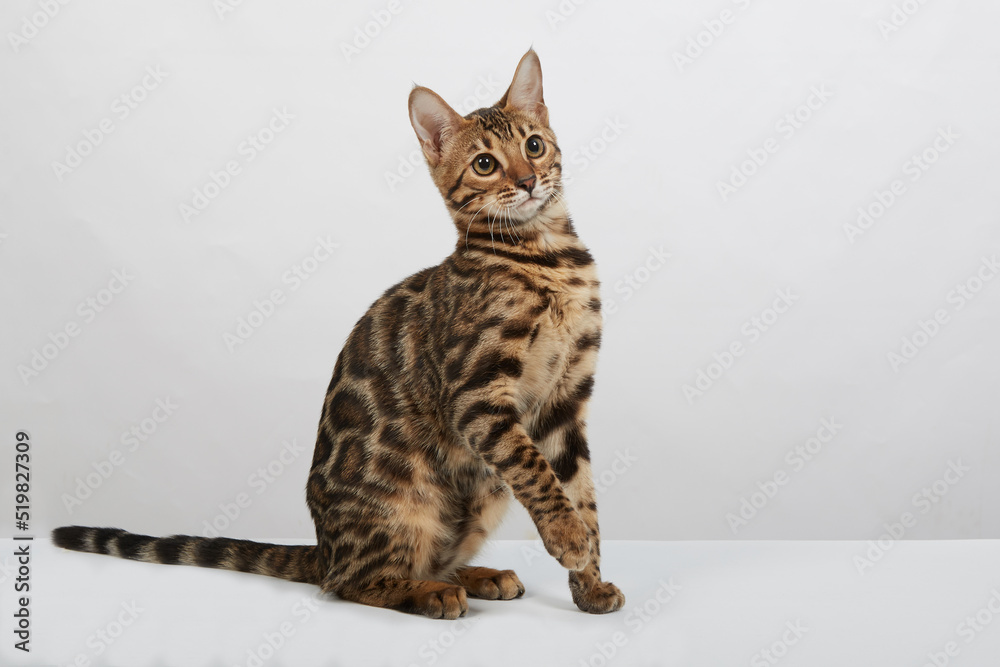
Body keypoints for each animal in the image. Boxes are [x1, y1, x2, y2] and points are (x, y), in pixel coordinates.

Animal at [54, 49, 624, 620]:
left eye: (534, 146)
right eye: (485, 164)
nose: (528, 180)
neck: (545, 257)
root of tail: (322, 547)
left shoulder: (565, 400)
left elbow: (582, 491)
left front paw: (591, 583)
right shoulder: (477, 394)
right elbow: (536, 470)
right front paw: (569, 538)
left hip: (485, 496)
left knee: (422, 561)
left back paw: (477, 575)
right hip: (404, 504)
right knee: (354, 582)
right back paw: (432, 592)